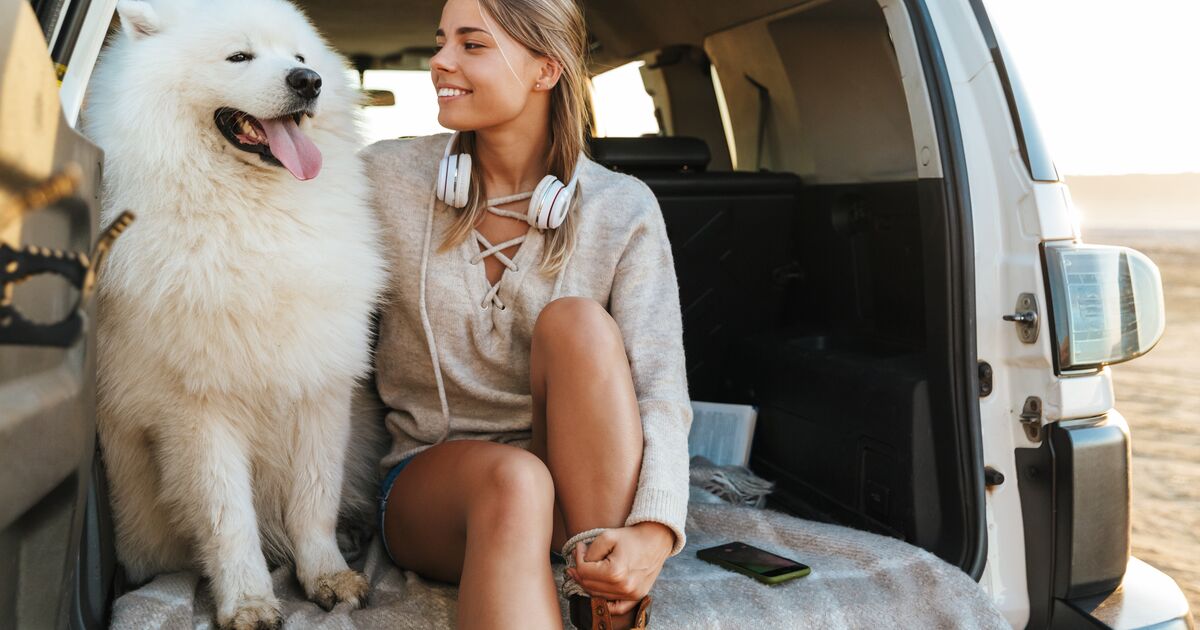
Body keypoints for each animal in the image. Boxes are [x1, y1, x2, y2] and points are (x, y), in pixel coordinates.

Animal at [84, 1, 384, 624]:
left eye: (299, 56)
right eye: (239, 56)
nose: (308, 81)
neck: (254, 213)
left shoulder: (321, 386)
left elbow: (314, 497)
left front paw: (326, 574)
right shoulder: (200, 408)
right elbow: (229, 519)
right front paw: (247, 600)